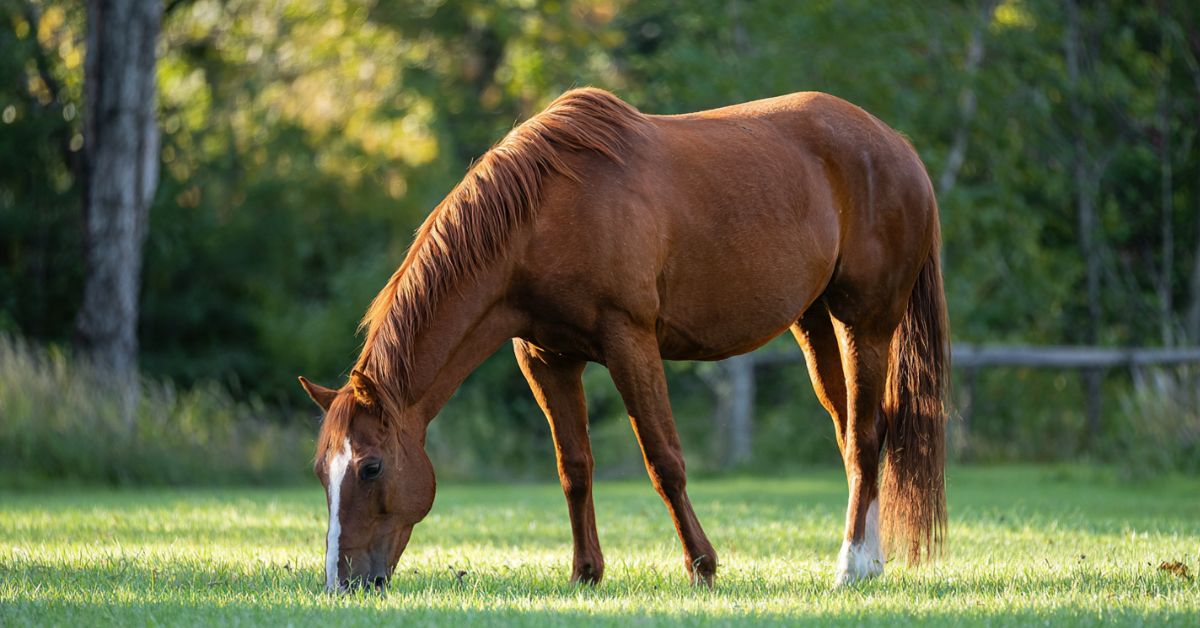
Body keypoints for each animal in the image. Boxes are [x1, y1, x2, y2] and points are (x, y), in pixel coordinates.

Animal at [298, 87, 948, 593]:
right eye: (322, 471)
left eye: (371, 468)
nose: (343, 582)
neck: (542, 216)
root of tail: (896, 146)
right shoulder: (546, 358)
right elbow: (574, 467)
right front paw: (585, 572)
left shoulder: (630, 341)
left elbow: (664, 460)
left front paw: (702, 566)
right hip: (814, 323)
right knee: (857, 432)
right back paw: (872, 562)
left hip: (865, 322)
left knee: (864, 437)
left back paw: (851, 566)